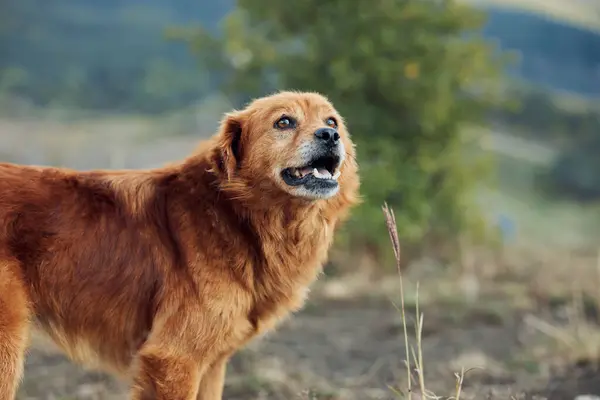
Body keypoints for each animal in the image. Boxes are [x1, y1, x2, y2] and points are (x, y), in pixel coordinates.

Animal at [0, 91, 356, 400]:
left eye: (333, 121)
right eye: (284, 122)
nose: (329, 135)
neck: (235, 214)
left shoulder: (211, 364)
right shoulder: (174, 359)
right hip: (8, 349)